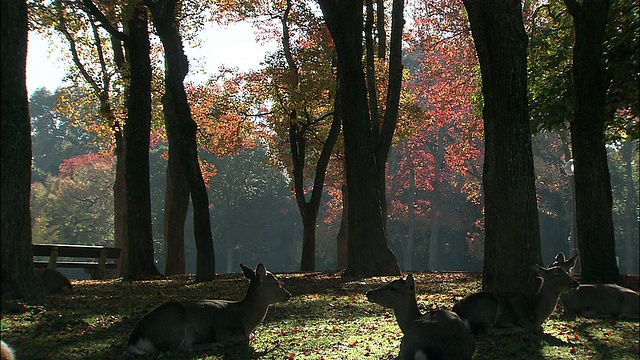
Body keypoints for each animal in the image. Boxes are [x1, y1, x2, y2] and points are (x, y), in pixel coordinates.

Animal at [126, 262, 292, 356]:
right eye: (276, 283)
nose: (288, 294)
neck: (244, 319)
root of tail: (134, 340)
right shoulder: (224, 330)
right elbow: (245, 339)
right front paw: (225, 342)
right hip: (174, 324)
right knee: (176, 348)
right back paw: (214, 344)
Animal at [450, 264, 580, 334]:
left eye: (566, 272)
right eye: (557, 275)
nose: (576, 283)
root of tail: (458, 311)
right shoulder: (521, 311)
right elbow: (530, 328)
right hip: (488, 305)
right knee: (486, 330)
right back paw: (511, 327)